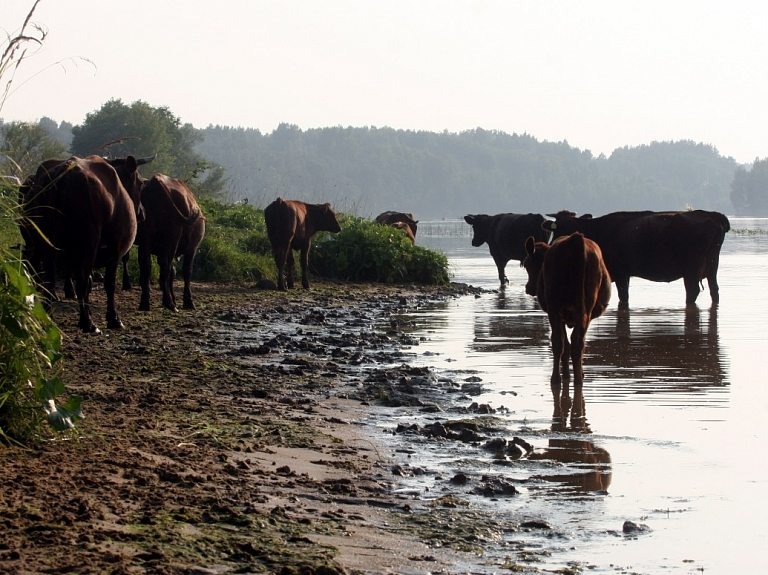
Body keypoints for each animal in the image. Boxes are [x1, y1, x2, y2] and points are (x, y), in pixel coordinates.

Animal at [124, 174, 206, 312]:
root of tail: (157, 181)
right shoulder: (191, 249)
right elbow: (184, 271)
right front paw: (186, 301)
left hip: (147, 241)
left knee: (147, 266)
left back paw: (145, 301)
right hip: (170, 242)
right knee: (165, 267)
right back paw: (168, 302)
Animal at [520, 233, 612, 418]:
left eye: (526, 264)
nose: (529, 288)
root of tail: (575, 239)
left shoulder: (557, 314)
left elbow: (563, 344)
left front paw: (566, 374)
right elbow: (570, 345)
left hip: (554, 307)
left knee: (559, 342)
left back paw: (557, 378)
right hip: (585, 308)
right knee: (577, 342)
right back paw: (578, 379)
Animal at [544, 208, 732, 306]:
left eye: (566, 230)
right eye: (556, 228)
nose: (553, 246)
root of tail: (713, 215)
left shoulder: (620, 272)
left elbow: (623, 296)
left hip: (691, 268)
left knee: (692, 290)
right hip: (712, 266)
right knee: (714, 289)